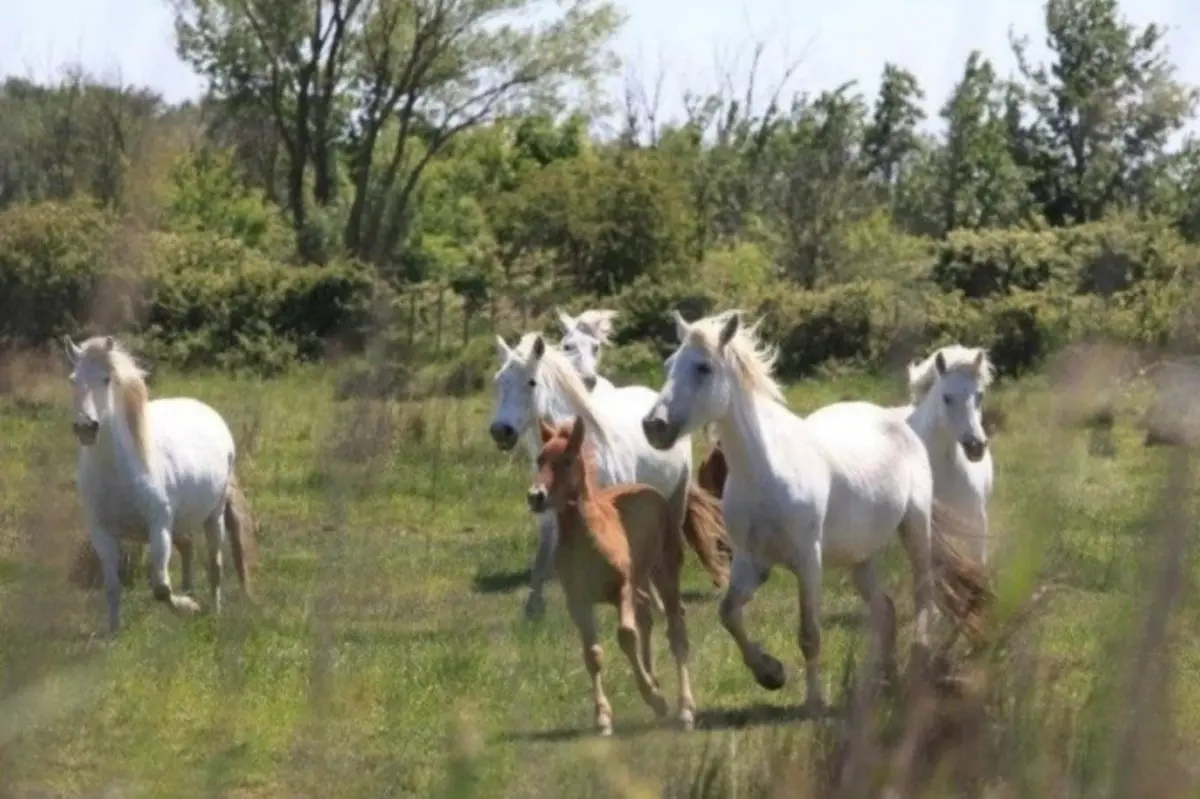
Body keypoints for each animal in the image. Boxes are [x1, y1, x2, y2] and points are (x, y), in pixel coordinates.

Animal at [63, 335, 255, 634]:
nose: (86, 427)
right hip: (179, 523)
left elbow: (161, 589)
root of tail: (210, 414)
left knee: (215, 565)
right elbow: (112, 588)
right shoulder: (103, 534)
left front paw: (189, 608)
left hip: (213, 516)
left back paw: (213, 612)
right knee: (188, 548)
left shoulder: (158, 528)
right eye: (73, 379)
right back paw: (191, 594)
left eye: (106, 379)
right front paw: (114, 634)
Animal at [489, 332, 726, 621]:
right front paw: (532, 612)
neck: (587, 450)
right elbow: (543, 561)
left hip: (675, 498)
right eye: (499, 381)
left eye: (531, 382)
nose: (501, 431)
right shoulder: (549, 516)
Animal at [527, 416, 729, 734]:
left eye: (567, 460)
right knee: (647, 615)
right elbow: (593, 653)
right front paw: (603, 717)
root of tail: (650, 490)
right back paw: (655, 681)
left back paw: (684, 708)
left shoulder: (621, 588)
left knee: (676, 629)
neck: (590, 536)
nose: (536, 496)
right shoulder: (578, 601)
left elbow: (626, 636)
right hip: (641, 581)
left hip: (664, 572)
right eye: (540, 459)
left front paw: (656, 699)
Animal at [640, 311, 989, 711]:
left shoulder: (808, 562)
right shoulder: (751, 561)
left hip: (916, 530)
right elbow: (728, 613)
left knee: (924, 597)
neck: (768, 470)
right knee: (884, 610)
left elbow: (809, 633)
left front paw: (813, 700)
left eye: (703, 368)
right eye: (669, 365)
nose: (653, 426)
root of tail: (899, 423)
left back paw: (917, 666)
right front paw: (770, 673)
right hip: (861, 556)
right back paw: (888, 681)